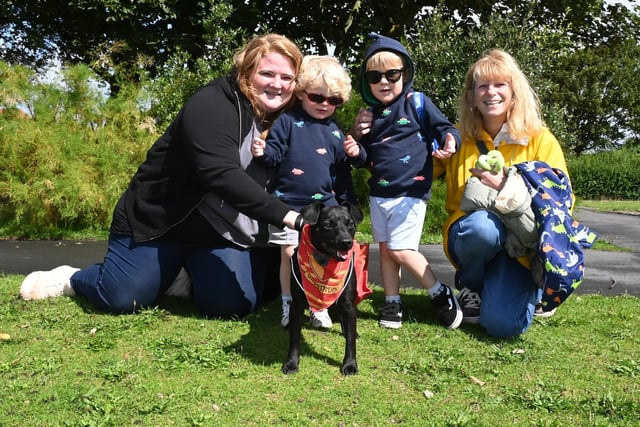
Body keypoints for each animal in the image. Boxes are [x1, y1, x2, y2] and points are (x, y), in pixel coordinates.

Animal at [282, 202, 362, 376]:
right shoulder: (297, 304)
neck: (326, 261)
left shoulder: (348, 303)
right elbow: (294, 338)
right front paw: (291, 362)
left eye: (351, 224)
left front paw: (350, 364)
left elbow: (350, 340)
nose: (347, 241)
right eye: (327, 225)